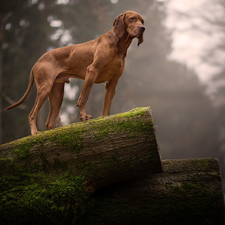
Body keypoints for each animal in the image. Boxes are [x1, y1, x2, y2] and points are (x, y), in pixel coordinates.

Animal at [5, 10, 146, 134]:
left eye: (142, 21)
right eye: (132, 18)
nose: (143, 28)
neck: (119, 46)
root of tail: (37, 62)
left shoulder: (112, 82)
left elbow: (107, 105)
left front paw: (105, 119)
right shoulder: (92, 71)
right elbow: (83, 98)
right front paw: (84, 117)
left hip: (57, 95)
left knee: (49, 123)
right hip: (45, 88)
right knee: (31, 114)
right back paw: (34, 132)